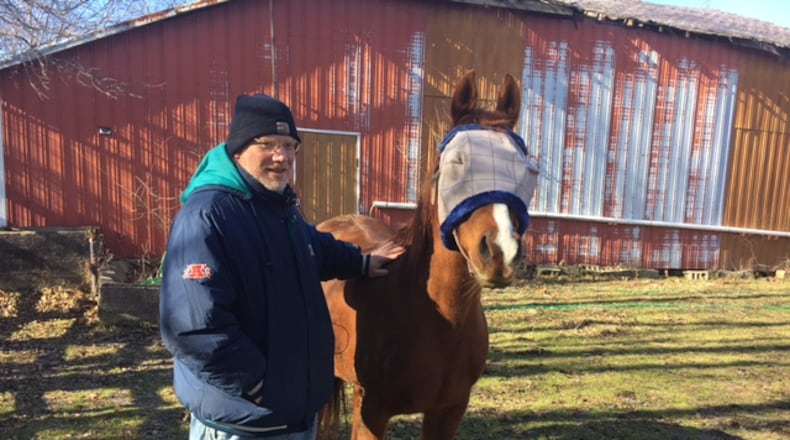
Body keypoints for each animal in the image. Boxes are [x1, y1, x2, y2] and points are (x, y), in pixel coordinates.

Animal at [317, 70, 539, 439]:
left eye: (524, 169)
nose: (499, 252)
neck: (438, 318)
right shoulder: (371, 411)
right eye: (455, 163)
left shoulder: (448, 411)